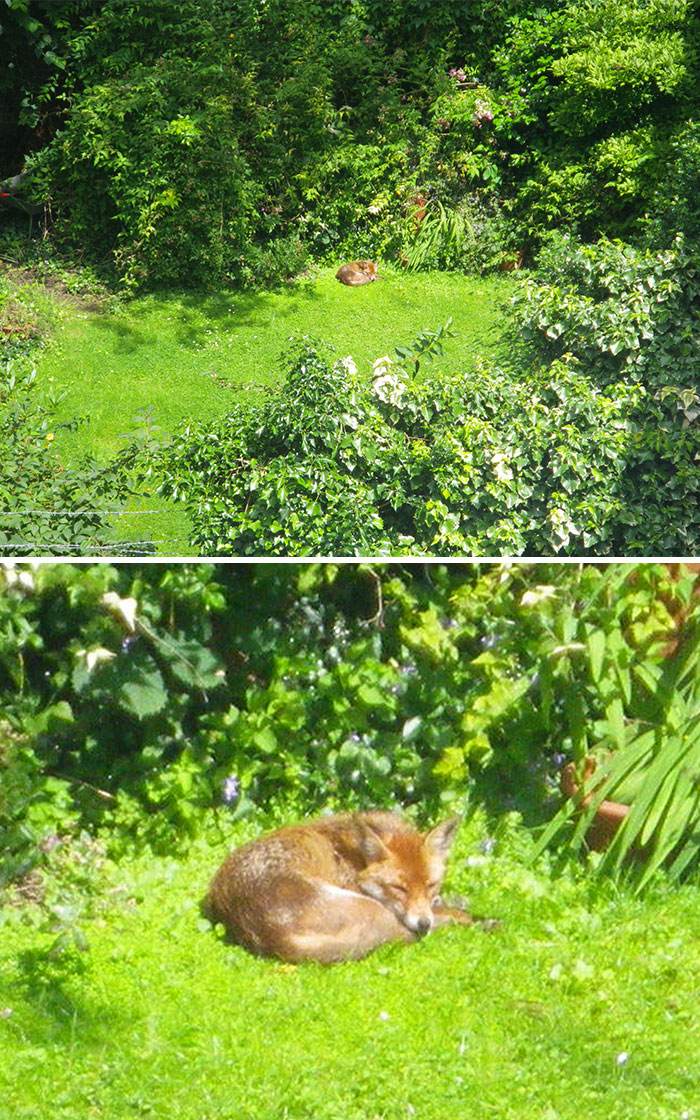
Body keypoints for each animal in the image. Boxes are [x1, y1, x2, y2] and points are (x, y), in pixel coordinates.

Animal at [204, 810, 483, 963]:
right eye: (399, 888)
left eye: (431, 884)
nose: (423, 924)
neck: (356, 859)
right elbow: (448, 913)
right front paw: (471, 915)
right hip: (372, 909)